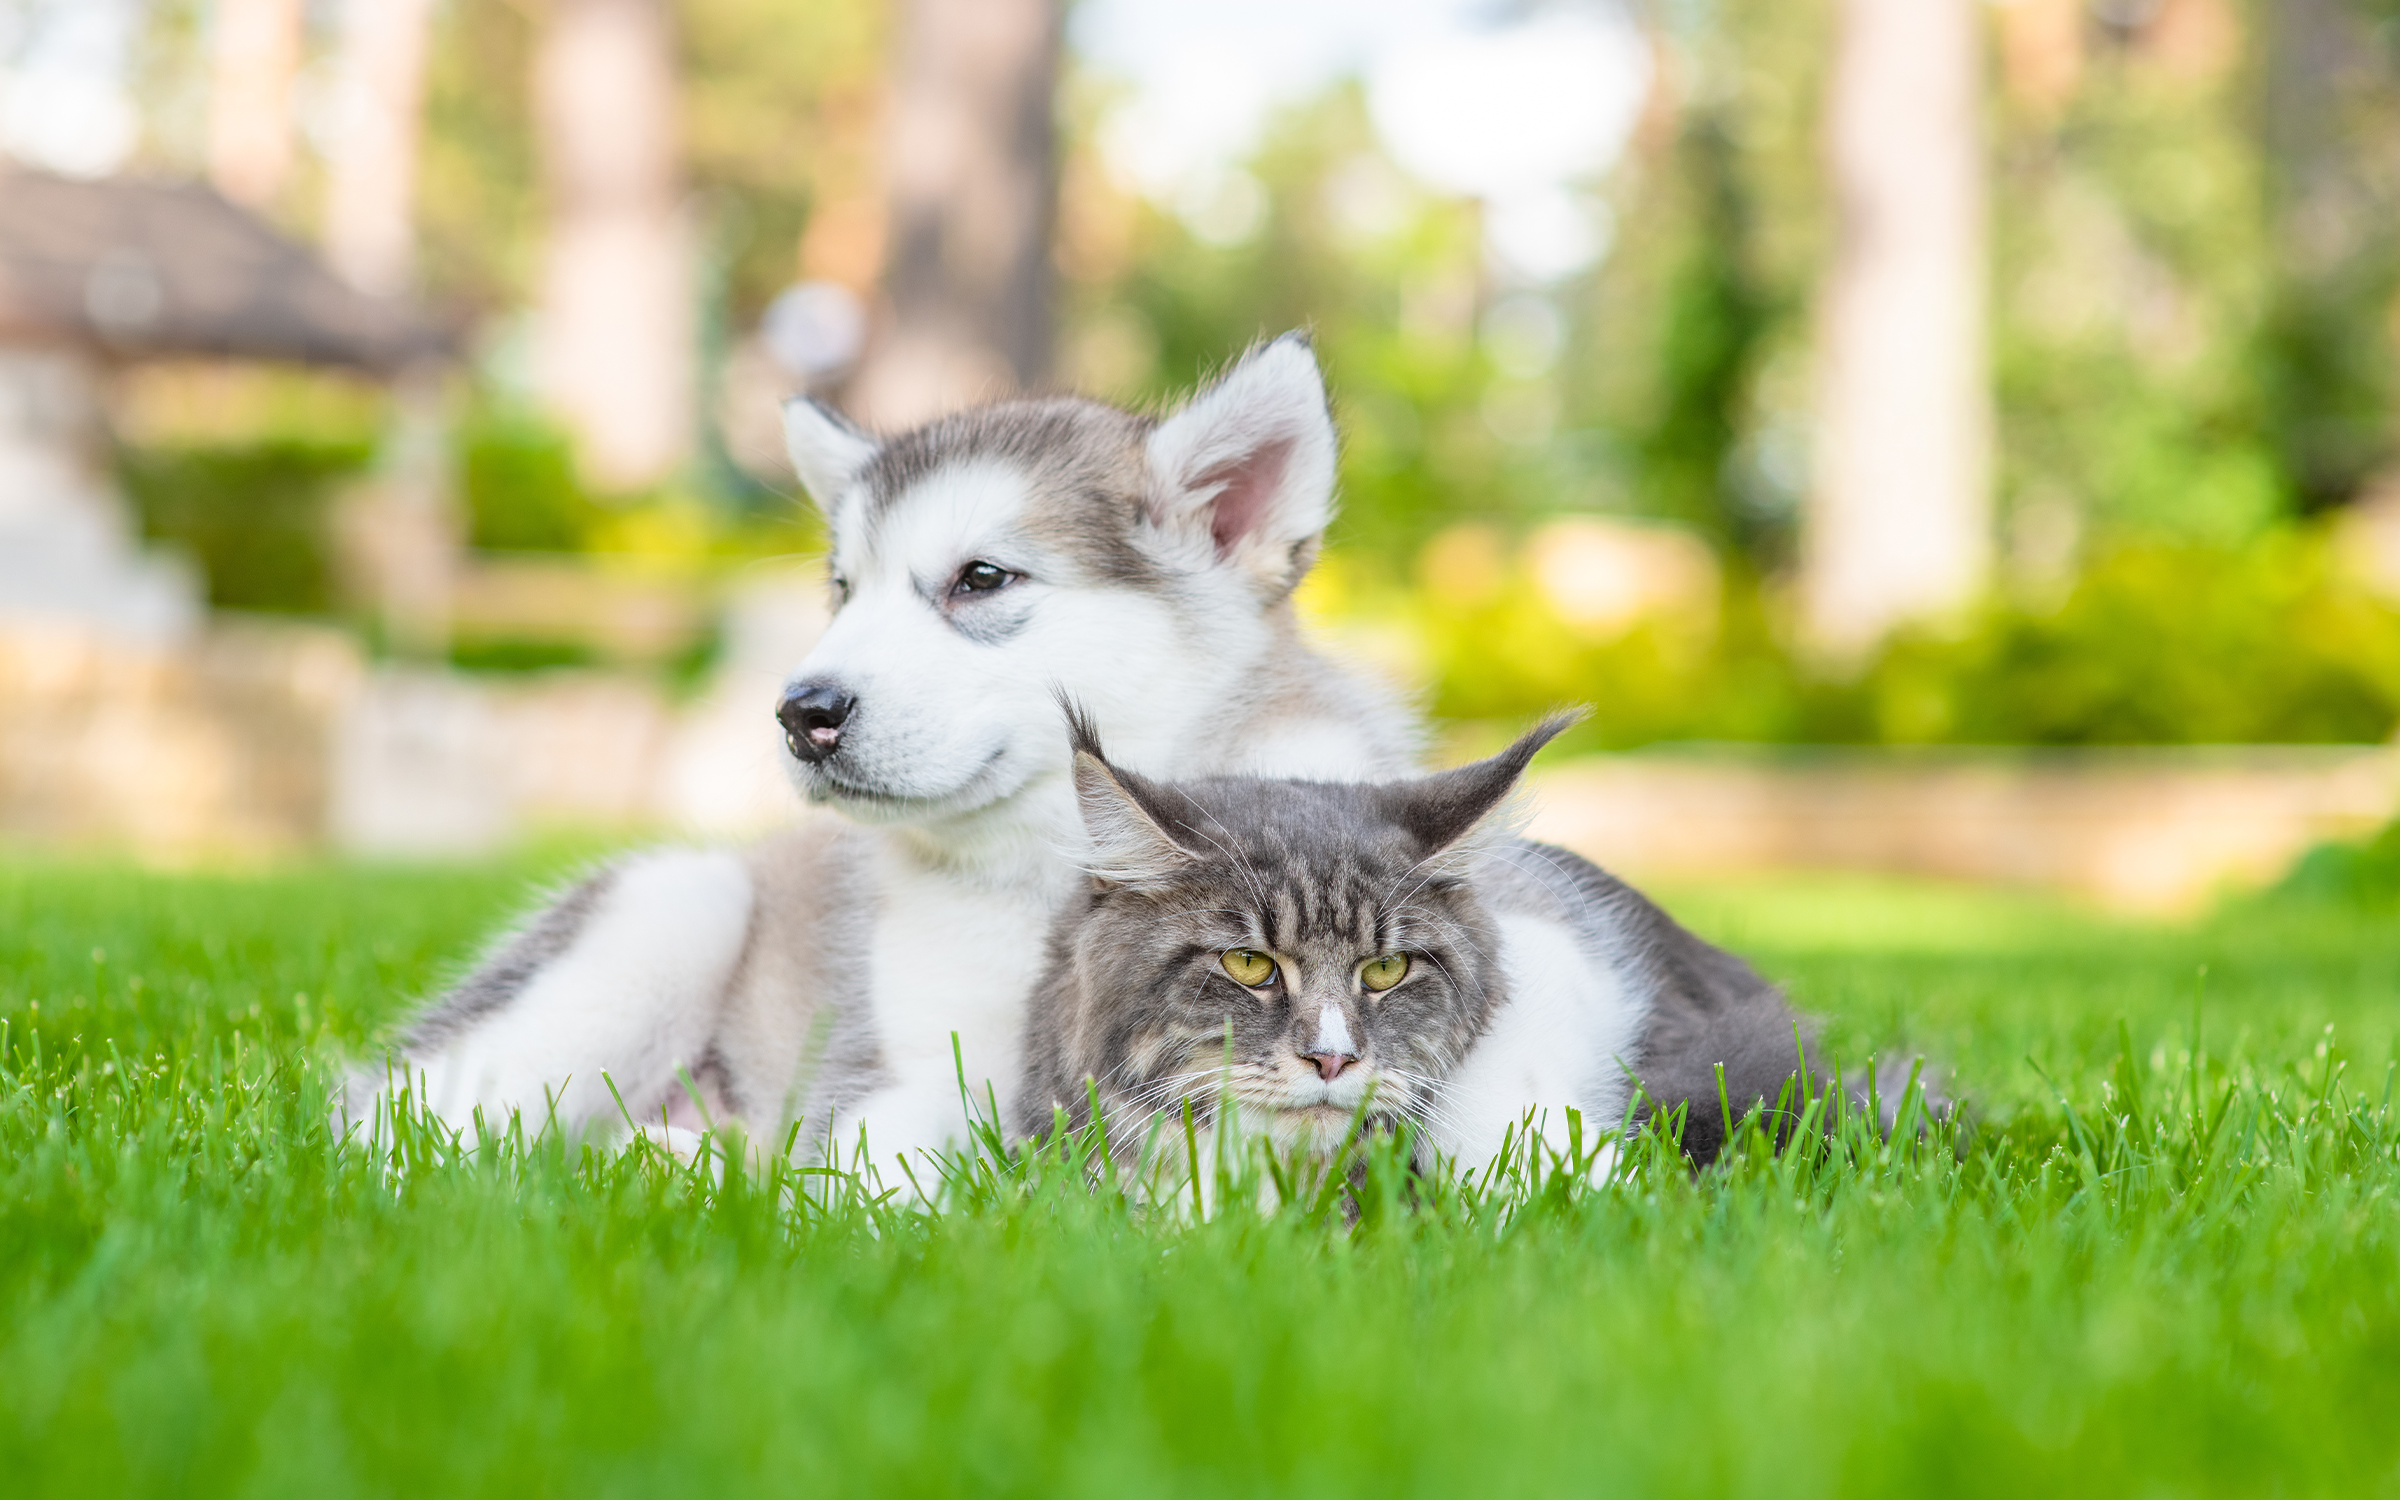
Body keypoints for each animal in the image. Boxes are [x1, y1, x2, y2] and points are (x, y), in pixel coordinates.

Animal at [340, 338, 1420, 1171]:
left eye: (981, 578)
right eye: (842, 589)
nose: (799, 713)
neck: (1057, 866)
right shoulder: (903, 1073)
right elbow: (880, 1179)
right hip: (669, 914)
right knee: (398, 1128)